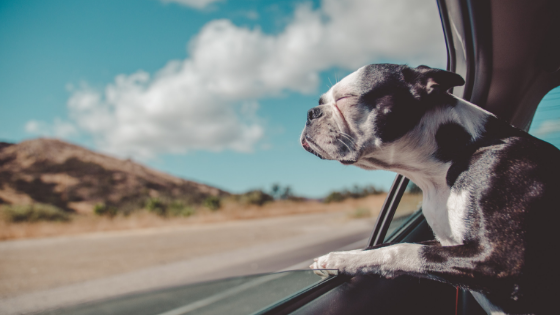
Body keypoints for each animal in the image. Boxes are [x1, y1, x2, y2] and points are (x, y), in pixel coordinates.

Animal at [302, 65, 560, 315]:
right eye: (321, 100)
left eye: (346, 98)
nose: (311, 112)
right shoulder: (447, 243)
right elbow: (380, 246)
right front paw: (340, 258)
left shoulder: (498, 260)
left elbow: (401, 250)